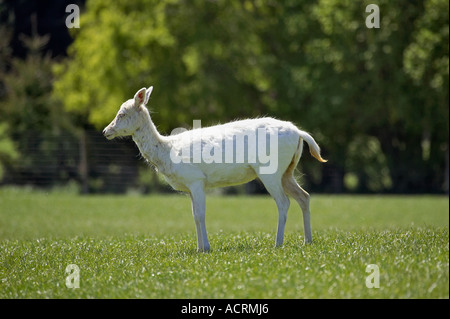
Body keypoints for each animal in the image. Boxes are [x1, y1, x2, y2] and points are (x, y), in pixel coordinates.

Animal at [103, 87, 326, 252]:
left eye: (122, 113)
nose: (106, 131)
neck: (167, 150)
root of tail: (299, 132)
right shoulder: (190, 187)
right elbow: (194, 215)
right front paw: (199, 248)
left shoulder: (196, 179)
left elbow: (201, 214)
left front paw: (207, 248)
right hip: (287, 171)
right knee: (304, 196)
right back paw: (307, 241)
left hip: (270, 170)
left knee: (284, 202)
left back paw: (278, 243)